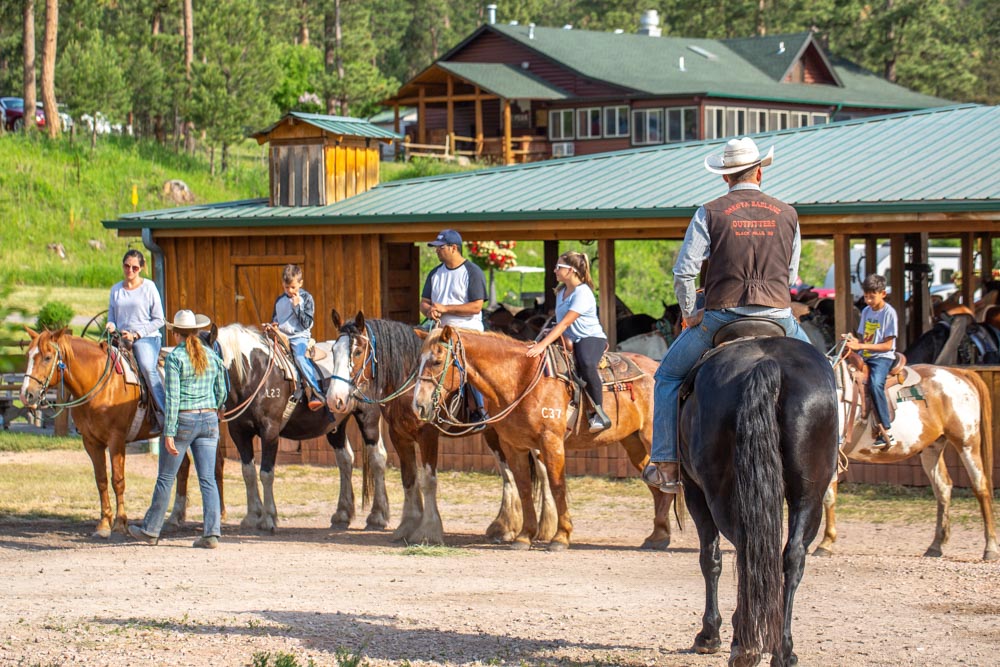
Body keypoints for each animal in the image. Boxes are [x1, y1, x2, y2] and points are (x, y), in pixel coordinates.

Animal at [19, 330, 158, 544]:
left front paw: (120, 523)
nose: (27, 395)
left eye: (48, 357)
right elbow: (101, 480)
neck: (101, 385)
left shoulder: (116, 439)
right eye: (28, 355)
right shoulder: (91, 442)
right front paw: (104, 524)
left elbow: (118, 480)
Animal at [326, 310, 556, 544]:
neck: (409, 384)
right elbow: (409, 479)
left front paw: (429, 530)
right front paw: (407, 525)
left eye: (357, 351)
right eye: (333, 351)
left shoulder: (427, 435)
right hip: (494, 435)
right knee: (508, 472)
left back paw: (545, 527)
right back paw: (505, 525)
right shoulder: (399, 435)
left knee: (541, 470)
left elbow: (428, 480)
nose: (335, 399)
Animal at [410, 326, 676, 552]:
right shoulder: (513, 446)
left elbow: (558, 486)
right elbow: (524, 487)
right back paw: (658, 536)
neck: (520, 379)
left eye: (436, 361)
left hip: (651, 438)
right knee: (656, 485)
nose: (419, 406)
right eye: (418, 362)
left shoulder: (551, 442)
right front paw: (524, 536)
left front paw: (561, 537)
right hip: (633, 442)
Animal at [680, 336, 844, 667]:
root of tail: (769, 364)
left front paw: (709, 635)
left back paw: (744, 645)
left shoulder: (694, 492)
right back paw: (782, 650)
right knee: (792, 556)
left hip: (718, 493)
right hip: (809, 494)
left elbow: (710, 558)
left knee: (745, 550)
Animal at [816, 350, 996, 564]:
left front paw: (825, 543)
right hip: (932, 447)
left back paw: (990, 548)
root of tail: (959, 372)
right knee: (943, 488)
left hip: (966, 442)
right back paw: (935, 546)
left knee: (980, 487)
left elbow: (828, 496)